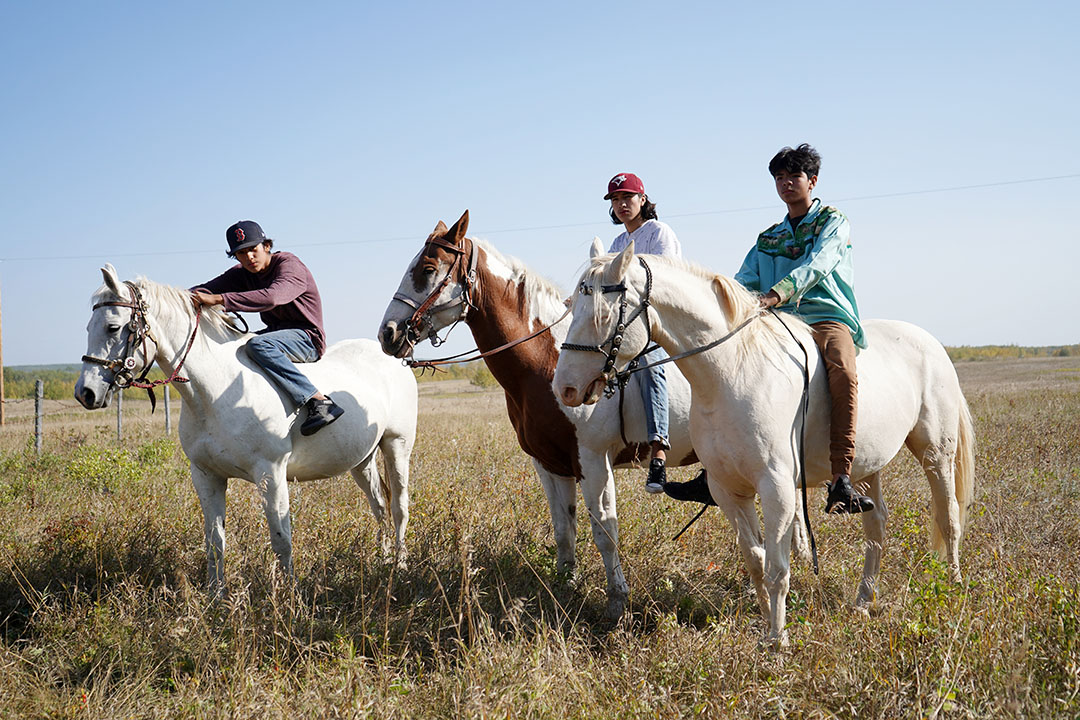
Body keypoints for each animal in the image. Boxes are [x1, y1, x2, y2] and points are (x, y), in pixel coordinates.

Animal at [75, 266, 416, 595]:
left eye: (113, 327)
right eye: (87, 327)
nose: (86, 393)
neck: (219, 389)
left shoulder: (271, 474)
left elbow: (281, 539)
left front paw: (289, 595)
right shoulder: (206, 476)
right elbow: (214, 541)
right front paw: (216, 596)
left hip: (396, 446)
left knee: (398, 507)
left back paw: (400, 567)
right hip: (362, 460)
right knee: (379, 506)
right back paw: (383, 559)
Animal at [552, 240, 976, 647]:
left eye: (602, 314)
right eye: (572, 305)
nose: (565, 389)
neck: (733, 372)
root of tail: (933, 345)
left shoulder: (777, 489)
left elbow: (777, 567)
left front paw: (777, 638)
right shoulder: (728, 490)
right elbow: (755, 560)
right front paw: (763, 619)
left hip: (936, 453)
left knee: (948, 516)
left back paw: (953, 585)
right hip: (866, 469)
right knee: (876, 528)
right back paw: (862, 602)